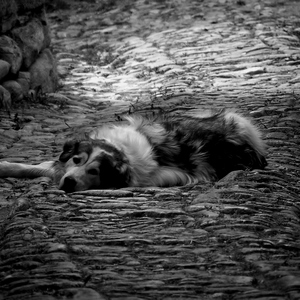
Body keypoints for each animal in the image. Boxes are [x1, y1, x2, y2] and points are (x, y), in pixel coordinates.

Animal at [0, 109, 268, 192]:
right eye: (76, 160)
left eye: (95, 172)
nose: (69, 182)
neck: (122, 151)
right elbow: (29, 167)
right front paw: (5, 166)